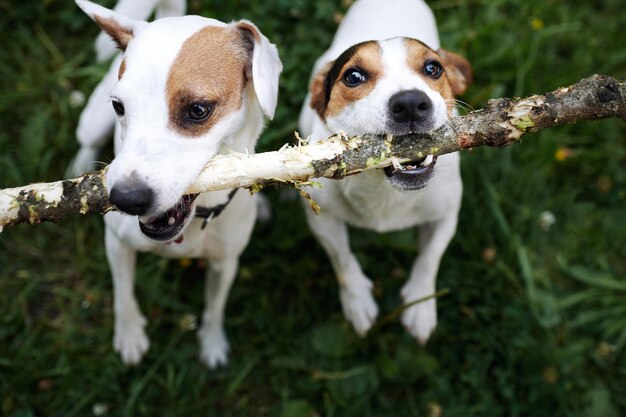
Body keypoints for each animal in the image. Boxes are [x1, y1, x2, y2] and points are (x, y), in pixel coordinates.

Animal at [74, 0, 282, 366]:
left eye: (198, 109)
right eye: (119, 107)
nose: (125, 199)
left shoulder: (225, 263)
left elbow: (215, 307)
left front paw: (212, 342)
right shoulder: (116, 243)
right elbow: (122, 293)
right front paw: (129, 333)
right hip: (92, 120)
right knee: (85, 139)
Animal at [298, 0, 468, 342]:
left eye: (433, 69)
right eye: (353, 76)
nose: (411, 103)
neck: (385, 191)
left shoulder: (446, 214)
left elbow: (430, 257)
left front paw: (421, 303)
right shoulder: (321, 218)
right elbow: (342, 259)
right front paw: (357, 302)